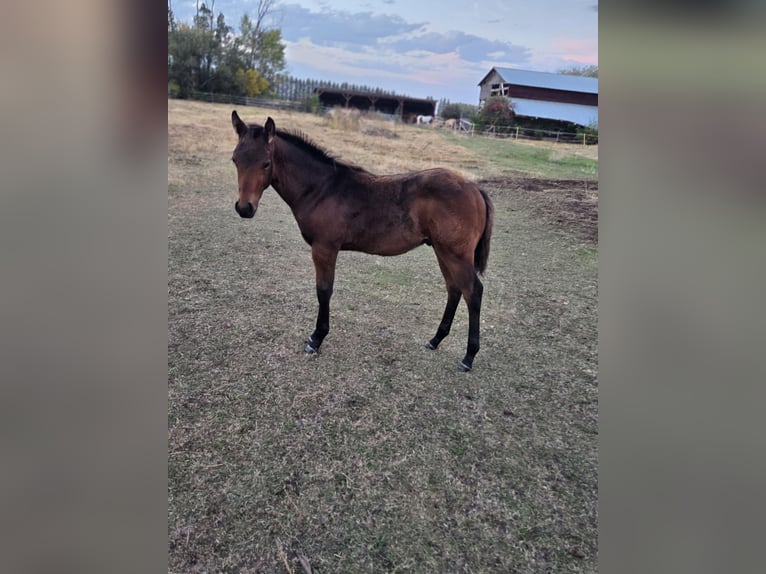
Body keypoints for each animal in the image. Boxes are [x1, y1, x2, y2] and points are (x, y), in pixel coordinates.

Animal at [231, 111, 494, 371]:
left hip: (455, 254)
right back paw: (435, 340)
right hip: (442, 251)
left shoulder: (324, 248)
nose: (244, 208)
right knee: (454, 289)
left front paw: (316, 339)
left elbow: (324, 290)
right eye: (235, 160)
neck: (321, 189)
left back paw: (468, 357)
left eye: (266, 163)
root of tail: (475, 188)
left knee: (473, 292)